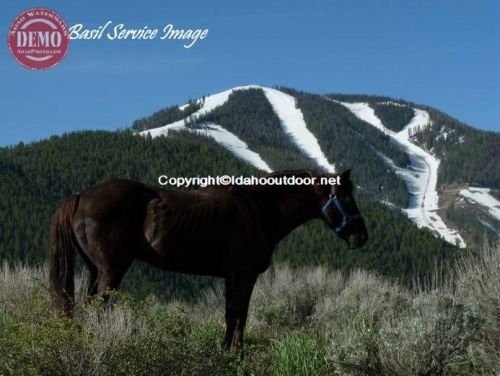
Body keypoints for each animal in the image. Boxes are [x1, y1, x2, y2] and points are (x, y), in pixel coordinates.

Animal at [48, 169, 368, 348]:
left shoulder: (230, 277)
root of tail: (81, 196)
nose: (361, 236)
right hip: (111, 271)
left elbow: (230, 315)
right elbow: (240, 314)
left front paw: (225, 351)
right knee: (97, 308)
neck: (259, 208)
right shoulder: (244, 275)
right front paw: (236, 354)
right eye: (346, 198)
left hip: (95, 270)